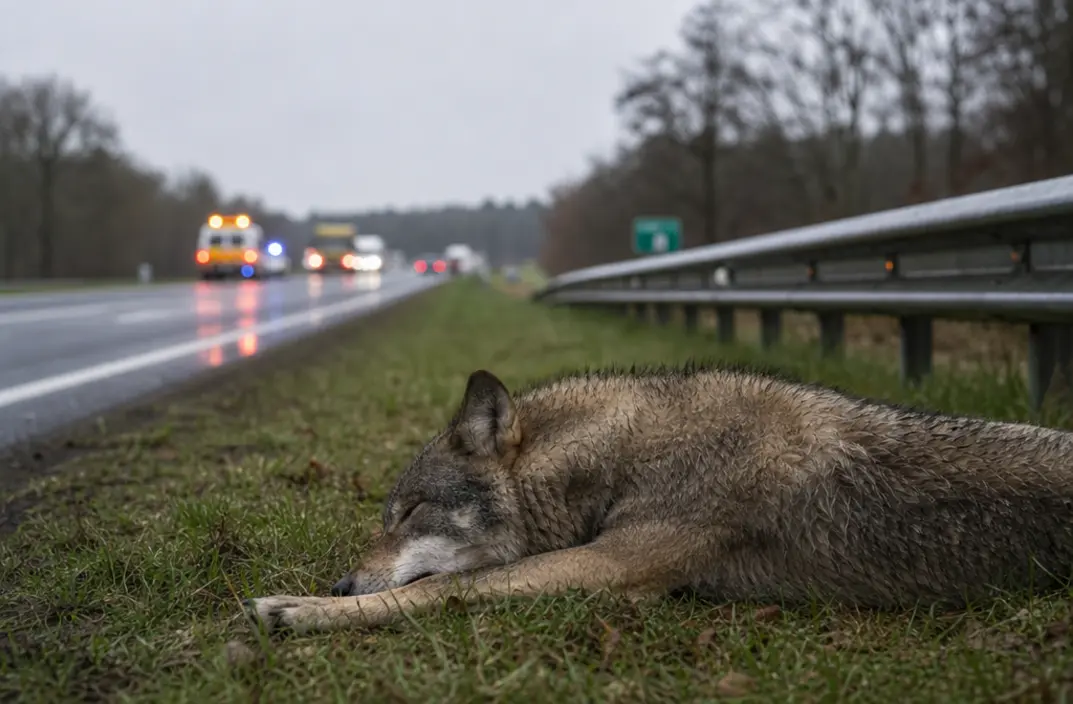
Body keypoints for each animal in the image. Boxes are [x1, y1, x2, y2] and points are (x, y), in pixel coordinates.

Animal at [245, 363, 1073, 635]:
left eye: (410, 513)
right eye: (385, 517)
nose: (339, 584)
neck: (625, 457)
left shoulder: (607, 570)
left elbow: (446, 590)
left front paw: (298, 610)